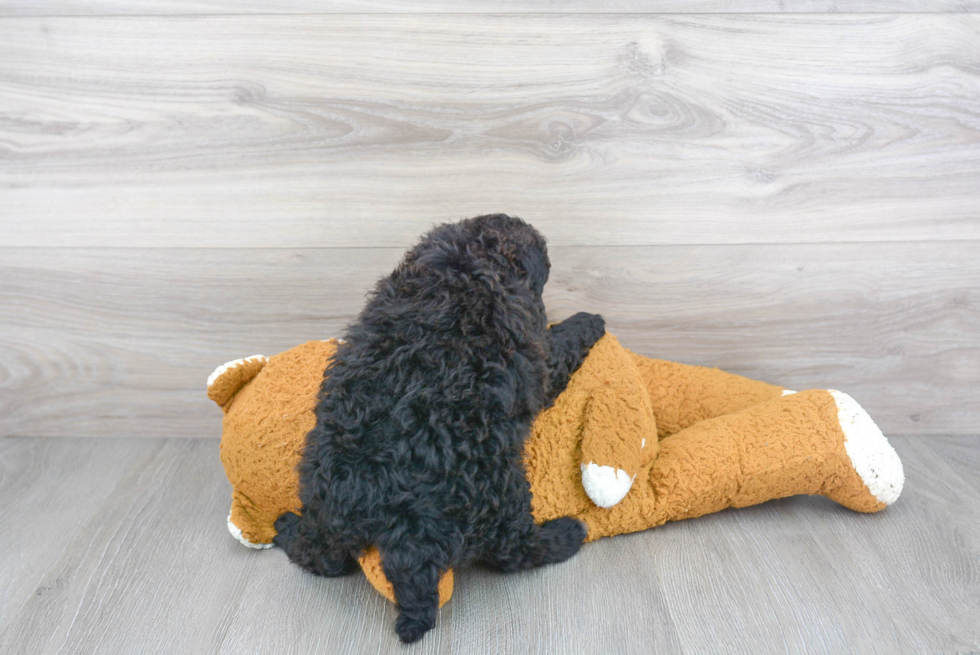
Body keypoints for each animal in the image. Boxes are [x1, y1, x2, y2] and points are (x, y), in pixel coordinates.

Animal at [276, 213, 604, 644]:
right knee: (514, 551)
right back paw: (566, 534)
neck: (464, 266)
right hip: (500, 492)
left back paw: (284, 527)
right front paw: (589, 320)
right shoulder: (540, 358)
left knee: (321, 558)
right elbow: (561, 342)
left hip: (321, 502)